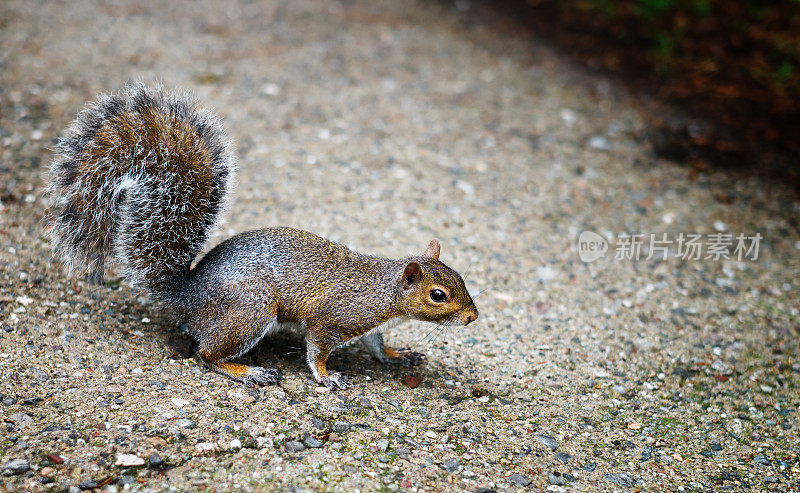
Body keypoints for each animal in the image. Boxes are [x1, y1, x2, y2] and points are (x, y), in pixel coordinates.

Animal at [47, 82, 478, 390]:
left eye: (460, 278)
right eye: (438, 295)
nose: (473, 317)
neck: (383, 292)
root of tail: (186, 296)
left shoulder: (368, 325)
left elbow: (376, 345)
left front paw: (395, 355)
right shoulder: (332, 318)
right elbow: (317, 350)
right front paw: (327, 377)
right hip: (249, 311)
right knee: (207, 355)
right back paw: (248, 371)